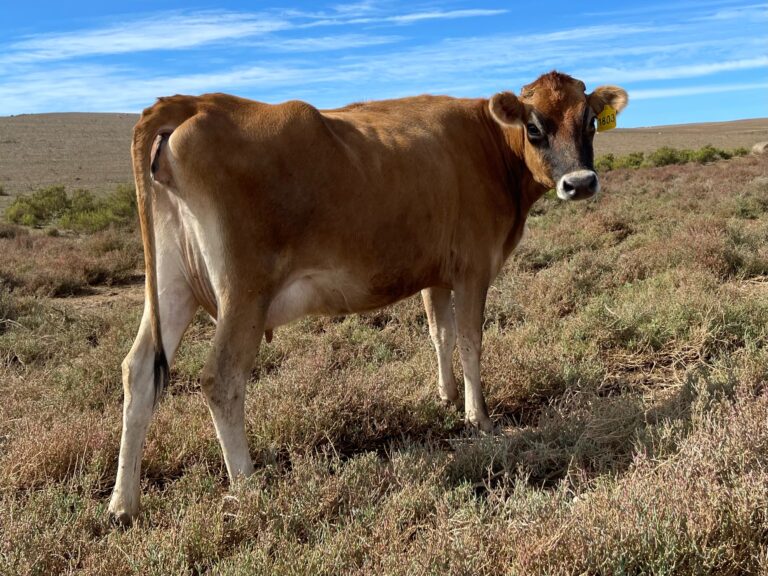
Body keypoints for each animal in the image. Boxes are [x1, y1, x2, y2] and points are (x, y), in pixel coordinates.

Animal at [108, 71, 628, 520]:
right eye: (535, 126)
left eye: (589, 121)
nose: (580, 183)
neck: (488, 144)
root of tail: (198, 102)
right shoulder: (473, 268)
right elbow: (469, 341)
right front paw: (478, 418)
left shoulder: (436, 273)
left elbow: (440, 334)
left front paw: (445, 396)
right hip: (243, 294)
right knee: (221, 378)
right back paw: (250, 488)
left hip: (173, 285)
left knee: (139, 371)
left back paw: (122, 503)